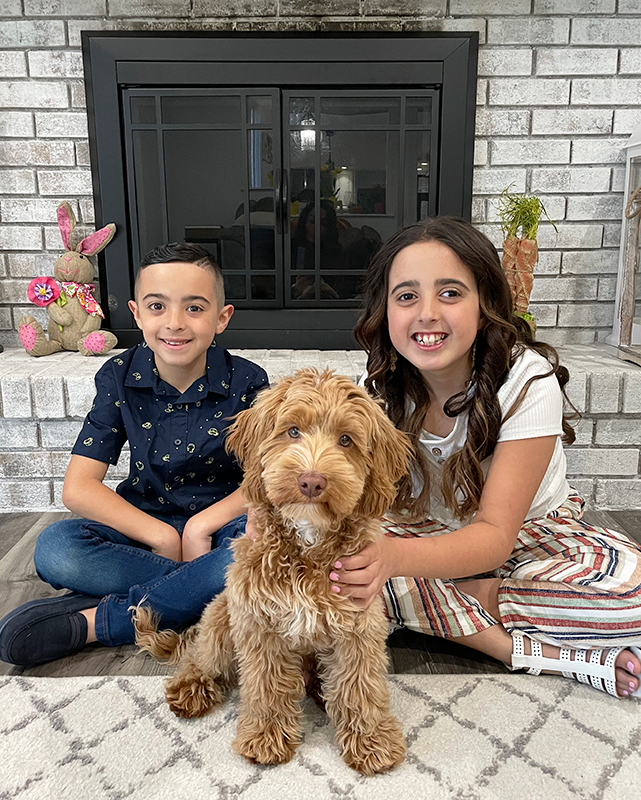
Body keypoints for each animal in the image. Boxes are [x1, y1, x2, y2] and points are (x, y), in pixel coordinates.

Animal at [134, 368, 412, 776]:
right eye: (292, 430)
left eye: (346, 439)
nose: (312, 481)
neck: (308, 540)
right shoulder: (259, 623)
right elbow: (266, 684)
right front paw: (266, 738)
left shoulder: (357, 625)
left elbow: (361, 685)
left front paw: (372, 740)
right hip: (221, 616)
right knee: (201, 657)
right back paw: (192, 687)